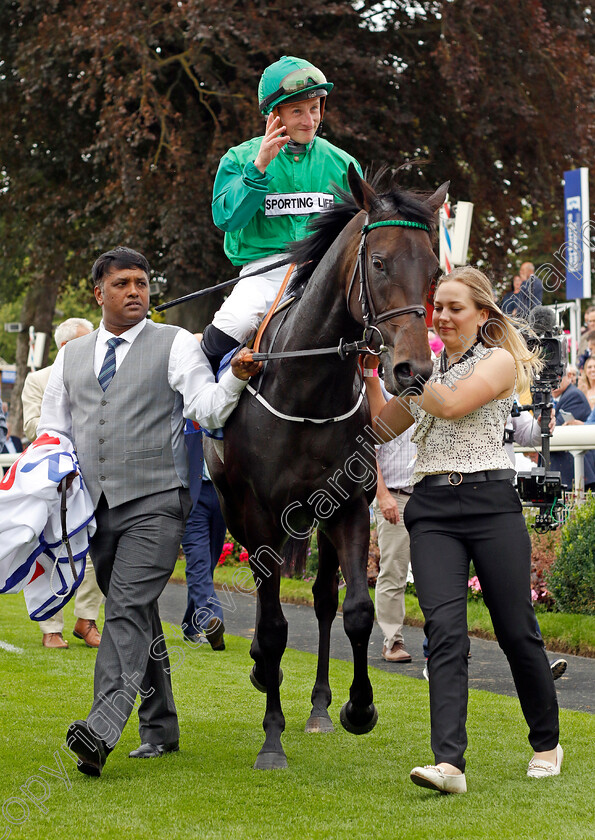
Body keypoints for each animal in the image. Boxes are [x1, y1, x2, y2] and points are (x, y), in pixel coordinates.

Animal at [205, 164, 448, 768]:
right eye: (378, 261)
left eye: (435, 270)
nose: (412, 369)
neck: (306, 386)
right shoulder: (261, 514)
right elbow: (272, 623)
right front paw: (271, 737)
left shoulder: (349, 505)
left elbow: (355, 609)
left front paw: (358, 708)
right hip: (240, 512)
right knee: (268, 601)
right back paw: (263, 672)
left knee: (319, 599)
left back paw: (317, 707)